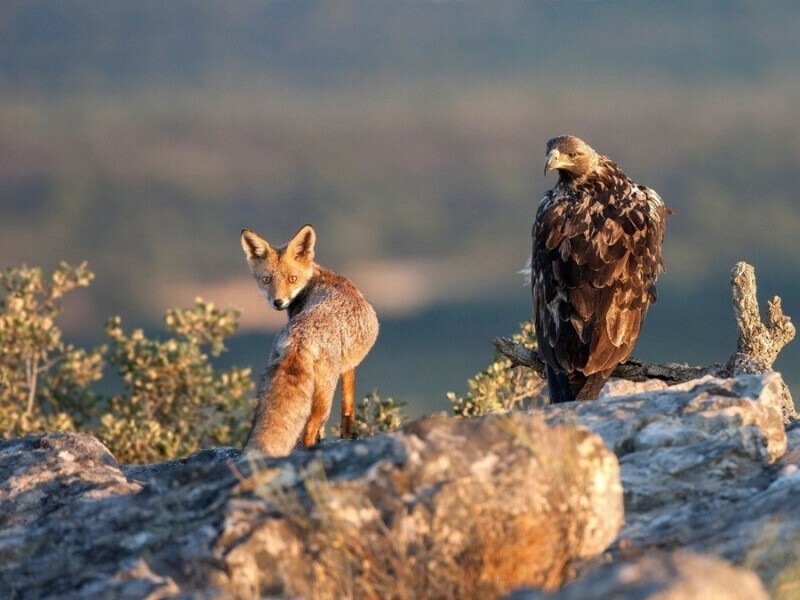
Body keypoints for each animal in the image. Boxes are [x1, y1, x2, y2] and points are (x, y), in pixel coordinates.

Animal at [239, 225, 380, 454]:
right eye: (267, 280)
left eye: (292, 279)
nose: (278, 302)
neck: (316, 278)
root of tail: (299, 339)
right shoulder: (349, 366)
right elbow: (348, 404)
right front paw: (348, 435)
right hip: (324, 396)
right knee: (310, 429)